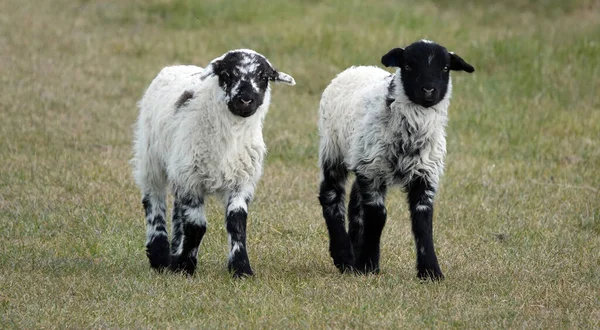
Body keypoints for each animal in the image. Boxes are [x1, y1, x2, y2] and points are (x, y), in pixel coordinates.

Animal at [132, 47, 296, 278]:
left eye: (264, 77)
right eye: (227, 74)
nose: (246, 100)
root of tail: (176, 66)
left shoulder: (240, 181)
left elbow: (237, 224)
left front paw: (241, 269)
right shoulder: (192, 179)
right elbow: (196, 226)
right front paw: (185, 266)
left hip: (179, 167)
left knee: (177, 210)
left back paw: (174, 253)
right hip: (150, 157)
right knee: (153, 200)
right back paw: (160, 256)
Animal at [316, 39, 476, 282]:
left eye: (445, 68)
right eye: (408, 66)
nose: (429, 90)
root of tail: (354, 68)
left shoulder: (425, 172)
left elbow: (423, 221)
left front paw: (430, 271)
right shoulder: (373, 169)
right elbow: (378, 216)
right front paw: (369, 264)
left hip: (360, 157)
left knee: (355, 200)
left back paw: (354, 251)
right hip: (334, 148)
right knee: (331, 194)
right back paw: (343, 255)